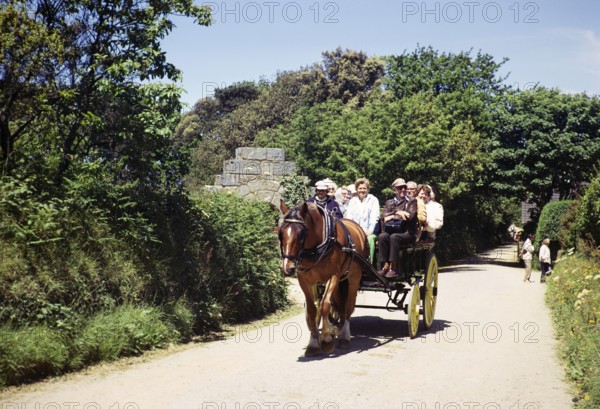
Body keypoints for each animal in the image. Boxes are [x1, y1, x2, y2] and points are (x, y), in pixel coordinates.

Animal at [278, 200, 368, 354]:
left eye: (301, 234)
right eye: (281, 233)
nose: (287, 268)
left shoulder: (333, 277)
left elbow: (325, 305)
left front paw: (326, 339)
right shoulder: (304, 280)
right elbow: (312, 310)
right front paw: (313, 343)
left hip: (353, 277)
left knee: (349, 306)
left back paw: (344, 336)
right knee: (340, 306)